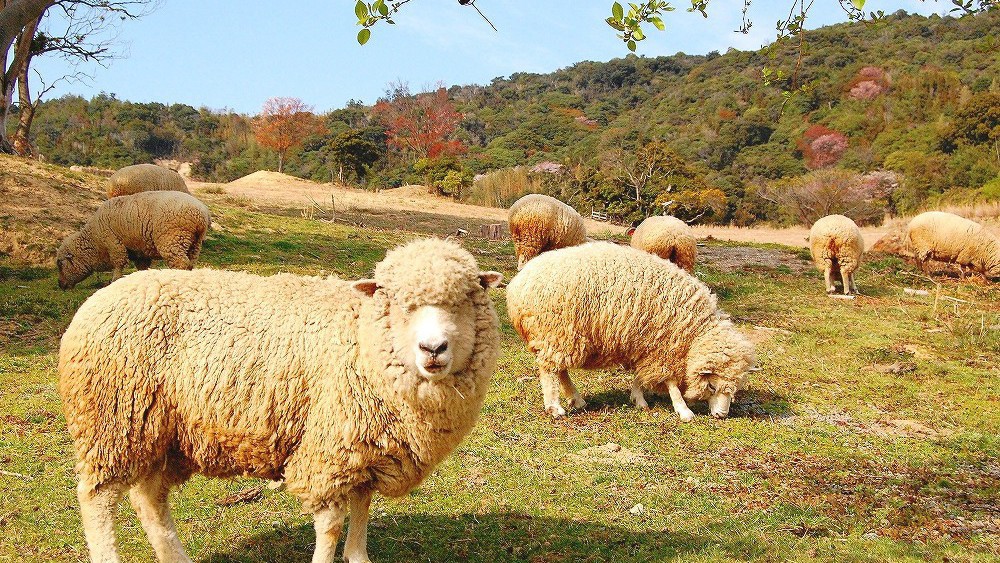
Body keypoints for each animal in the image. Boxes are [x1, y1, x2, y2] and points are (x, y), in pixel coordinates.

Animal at [56, 193, 211, 290]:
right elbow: (142, 267)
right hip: (194, 244)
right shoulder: (140, 252)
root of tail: (200, 213)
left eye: (60, 265)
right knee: (190, 264)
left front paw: (114, 281)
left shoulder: (114, 243)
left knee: (181, 263)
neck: (94, 242)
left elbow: (118, 265)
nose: (60, 285)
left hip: (173, 239)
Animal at [58, 238, 504, 563]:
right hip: (110, 421)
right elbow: (332, 523)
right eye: (397, 302)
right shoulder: (328, 449)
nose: (434, 349)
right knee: (96, 499)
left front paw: (358, 556)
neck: (360, 336)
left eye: (465, 299)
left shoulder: (366, 450)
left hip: (160, 432)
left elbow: (361, 508)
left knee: (149, 499)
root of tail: (97, 300)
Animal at [504, 242, 752, 424]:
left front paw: (638, 399)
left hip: (564, 337)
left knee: (561, 370)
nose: (721, 415)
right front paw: (683, 410)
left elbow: (640, 375)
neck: (694, 332)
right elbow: (671, 382)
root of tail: (518, 285)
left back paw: (577, 400)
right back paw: (554, 407)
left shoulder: (645, 344)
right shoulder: (664, 348)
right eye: (712, 386)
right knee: (549, 370)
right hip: (556, 332)